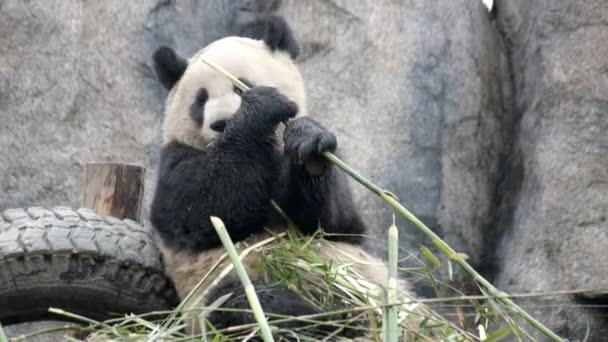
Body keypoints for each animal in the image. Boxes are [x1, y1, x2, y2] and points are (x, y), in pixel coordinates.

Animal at [148, 15, 408, 336]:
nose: (221, 123)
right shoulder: (175, 160)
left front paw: (309, 144)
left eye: (241, 86)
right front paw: (261, 110)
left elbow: (333, 223)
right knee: (250, 304)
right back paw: (335, 319)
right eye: (201, 100)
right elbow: (203, 209)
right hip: (223, 290)